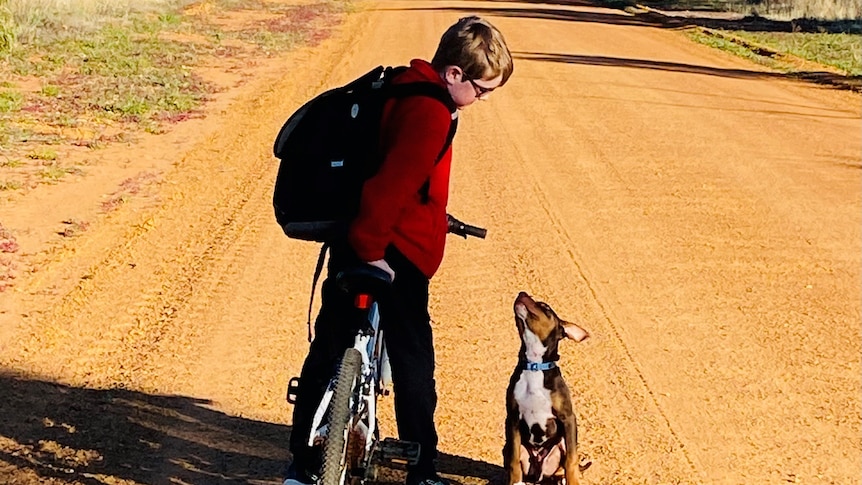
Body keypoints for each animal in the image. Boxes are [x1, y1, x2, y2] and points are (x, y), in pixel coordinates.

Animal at [502, 292, 592, 484]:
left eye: (545, 307)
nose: (521, 293)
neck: (534, 365)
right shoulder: (512, 417)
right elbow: (514, 460)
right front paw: (515, 481)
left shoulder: (568, 417)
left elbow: (572, 461)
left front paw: (573, 480)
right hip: (509, 446)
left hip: (561, 444)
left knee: (561, 469)